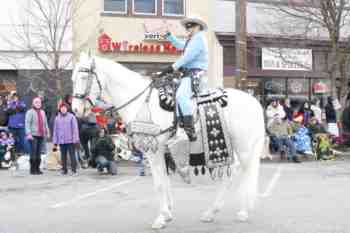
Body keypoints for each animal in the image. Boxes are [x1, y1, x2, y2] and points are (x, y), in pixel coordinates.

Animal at [71, 53, 266, 229]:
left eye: (84, 76)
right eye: (73, 78)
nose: (76, 110)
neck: (142, 104)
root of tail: (254, 102)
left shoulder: (154, 152)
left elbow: (158, 184)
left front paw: (160, 218)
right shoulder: (163, 153)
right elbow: (165, 181)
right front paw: (168, 213)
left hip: (244, 147)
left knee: (242, 173)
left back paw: (241, 211)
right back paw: (212, 213)